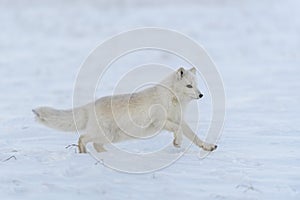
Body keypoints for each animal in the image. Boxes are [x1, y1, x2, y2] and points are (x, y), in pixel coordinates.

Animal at [32, 67, 217, 153]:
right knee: (82, 138)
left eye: (196, 85)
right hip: (105, 134)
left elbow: (195, 137)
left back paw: (107, 156)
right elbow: (177, 130)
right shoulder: (159, 122)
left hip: (111, 137)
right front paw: (177, 142)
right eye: (189, 86)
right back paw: (84, 153)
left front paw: (207, 146)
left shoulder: (179, 120)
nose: (201, 95)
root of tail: (91, 105)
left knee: (96, 144)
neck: (172, 100)